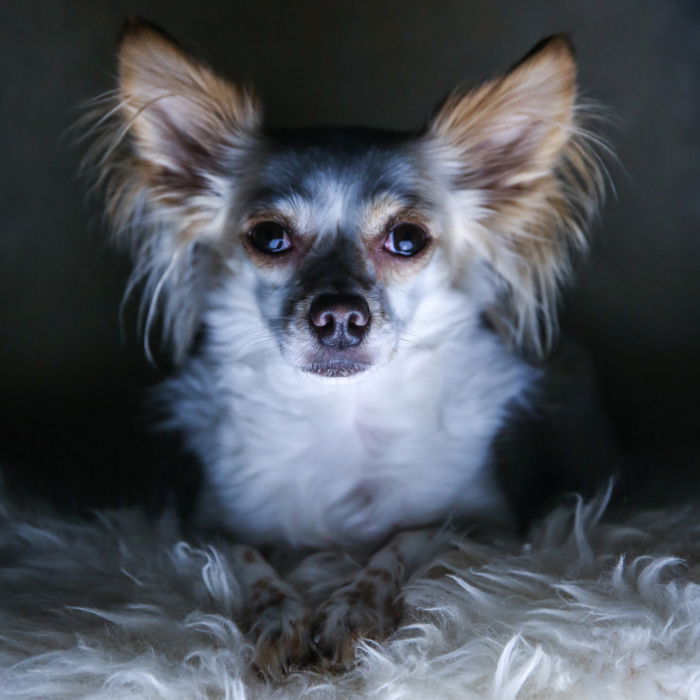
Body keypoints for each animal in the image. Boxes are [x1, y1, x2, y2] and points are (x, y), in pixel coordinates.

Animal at [94, 20, 608, 672]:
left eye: (408, 239)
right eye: (269, 237)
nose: (339, 315)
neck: (342, 411)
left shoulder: (485, 523)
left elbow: (405, 541)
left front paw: (351, 611)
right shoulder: (206, 526)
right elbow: (245, 558)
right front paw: (278, 615)